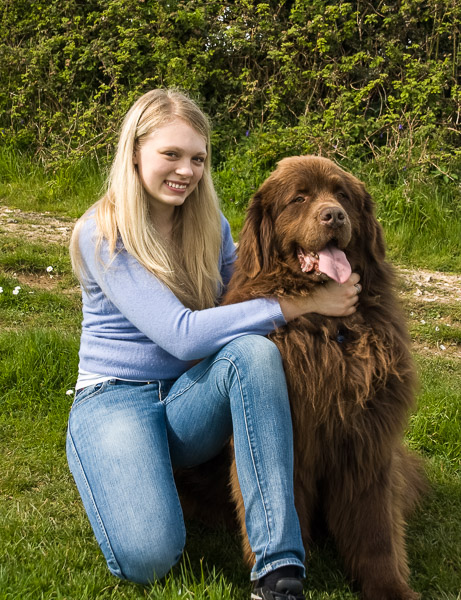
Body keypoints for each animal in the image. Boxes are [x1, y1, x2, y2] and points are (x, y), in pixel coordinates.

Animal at [222, 156, 424, 600]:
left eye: (342, 194)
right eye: (299, 198)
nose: (334, 216)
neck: (331, 328)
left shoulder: (369, 444)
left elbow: (376, 529)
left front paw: (390, 588)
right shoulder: (297, 441)